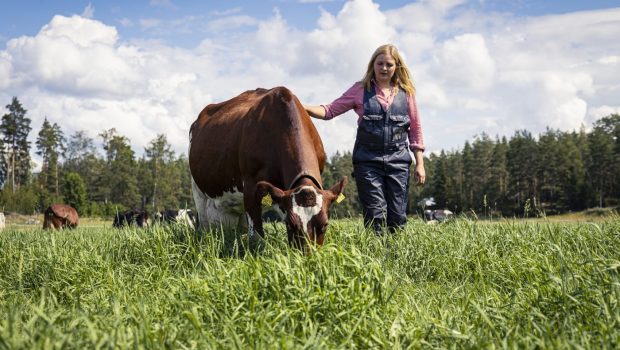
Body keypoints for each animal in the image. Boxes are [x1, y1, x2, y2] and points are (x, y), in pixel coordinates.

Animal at [188, 86, 348, 249]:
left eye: (325, 224)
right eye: (290, 224)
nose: (307, 254)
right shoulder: (251, 187)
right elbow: (256, 238)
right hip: (199, 193)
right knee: (203, 226)